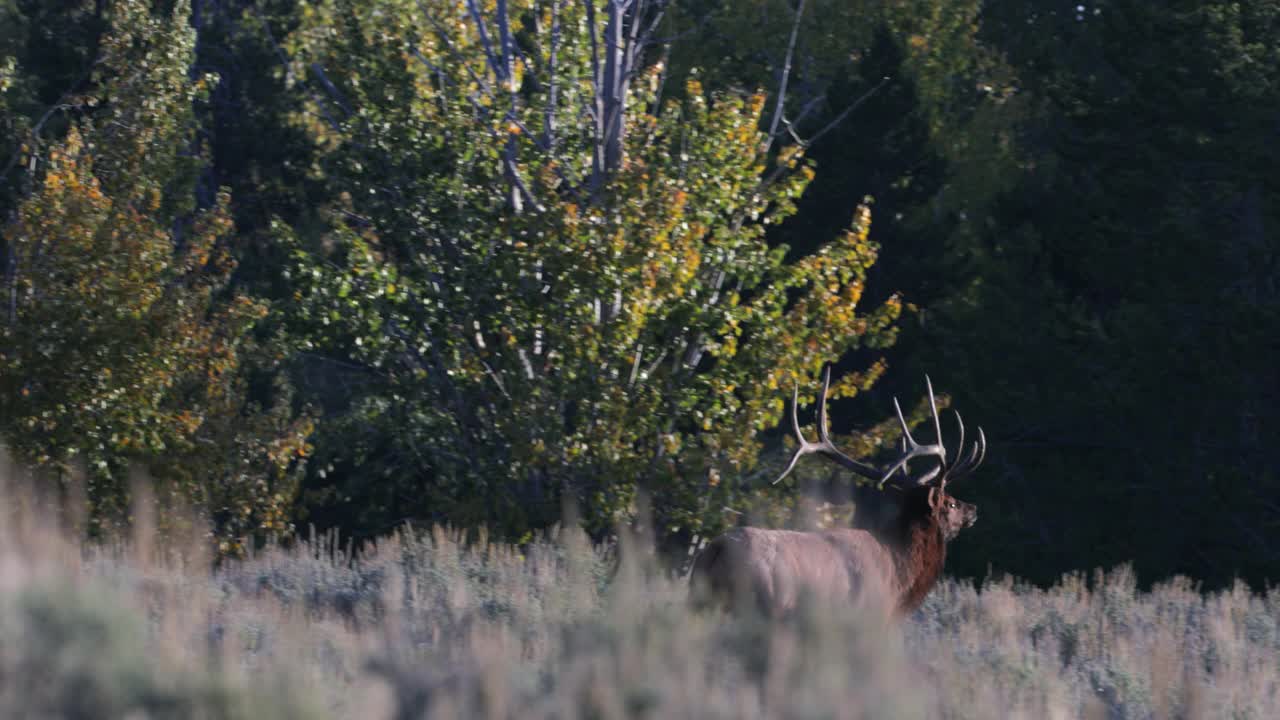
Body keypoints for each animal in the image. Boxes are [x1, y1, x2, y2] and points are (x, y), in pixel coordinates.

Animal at [686, 363, 983, 617]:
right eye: (950, 503)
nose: (973, 509)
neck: (899, 574)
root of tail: (714, 551)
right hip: (759, 605)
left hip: (701, 605)